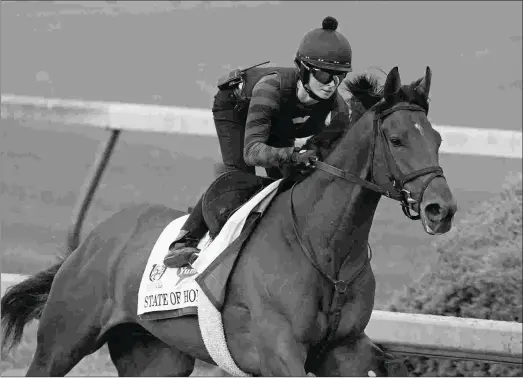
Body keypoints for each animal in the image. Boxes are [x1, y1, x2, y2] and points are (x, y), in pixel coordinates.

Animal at [1, 66, 458, 376]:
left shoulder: (344, 349)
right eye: (396, 139)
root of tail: (92, 240)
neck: (326, 250)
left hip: (155, 355)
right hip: (62, 342)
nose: (442, 209)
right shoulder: (278, 352)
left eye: (437, 138)